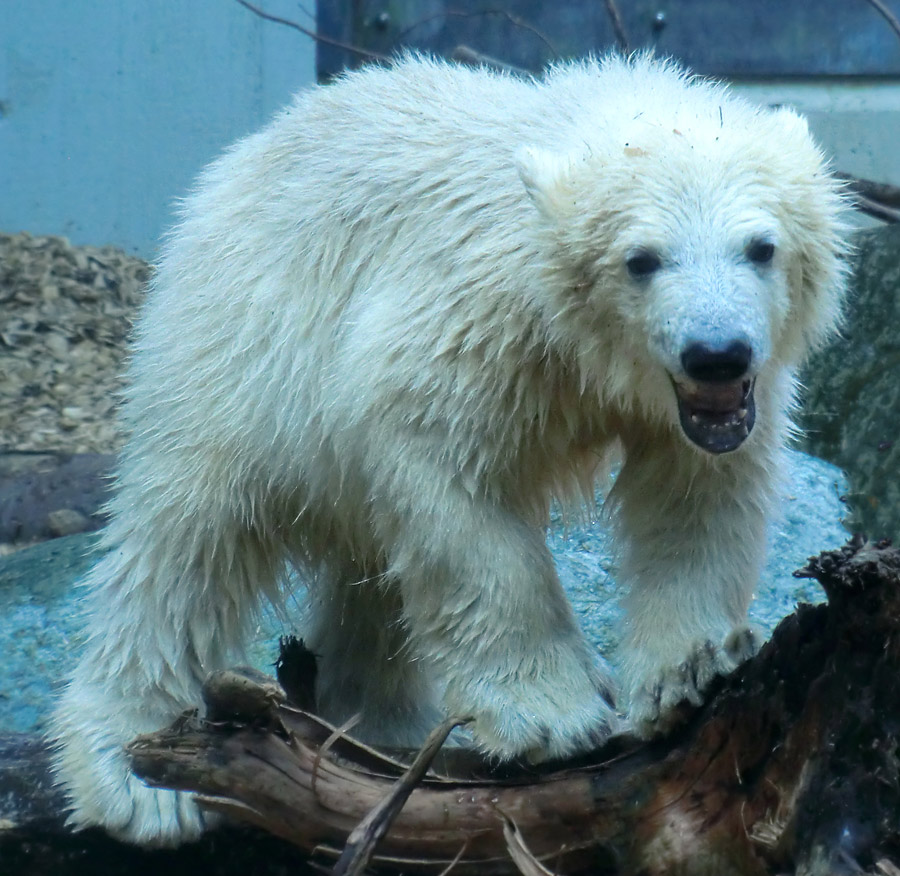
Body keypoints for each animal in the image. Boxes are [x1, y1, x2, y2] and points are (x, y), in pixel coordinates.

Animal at [51, 53, 852, 840]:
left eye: (761, 247)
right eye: (642, 259)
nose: (716, 354)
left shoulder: (712, 410)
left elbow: (696, 495)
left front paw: (692, 669)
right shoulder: (472, 317)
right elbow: (450, 478)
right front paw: (552, 714)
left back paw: (381, 727)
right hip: (236, 346)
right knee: (188, 538)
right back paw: (137, 775)